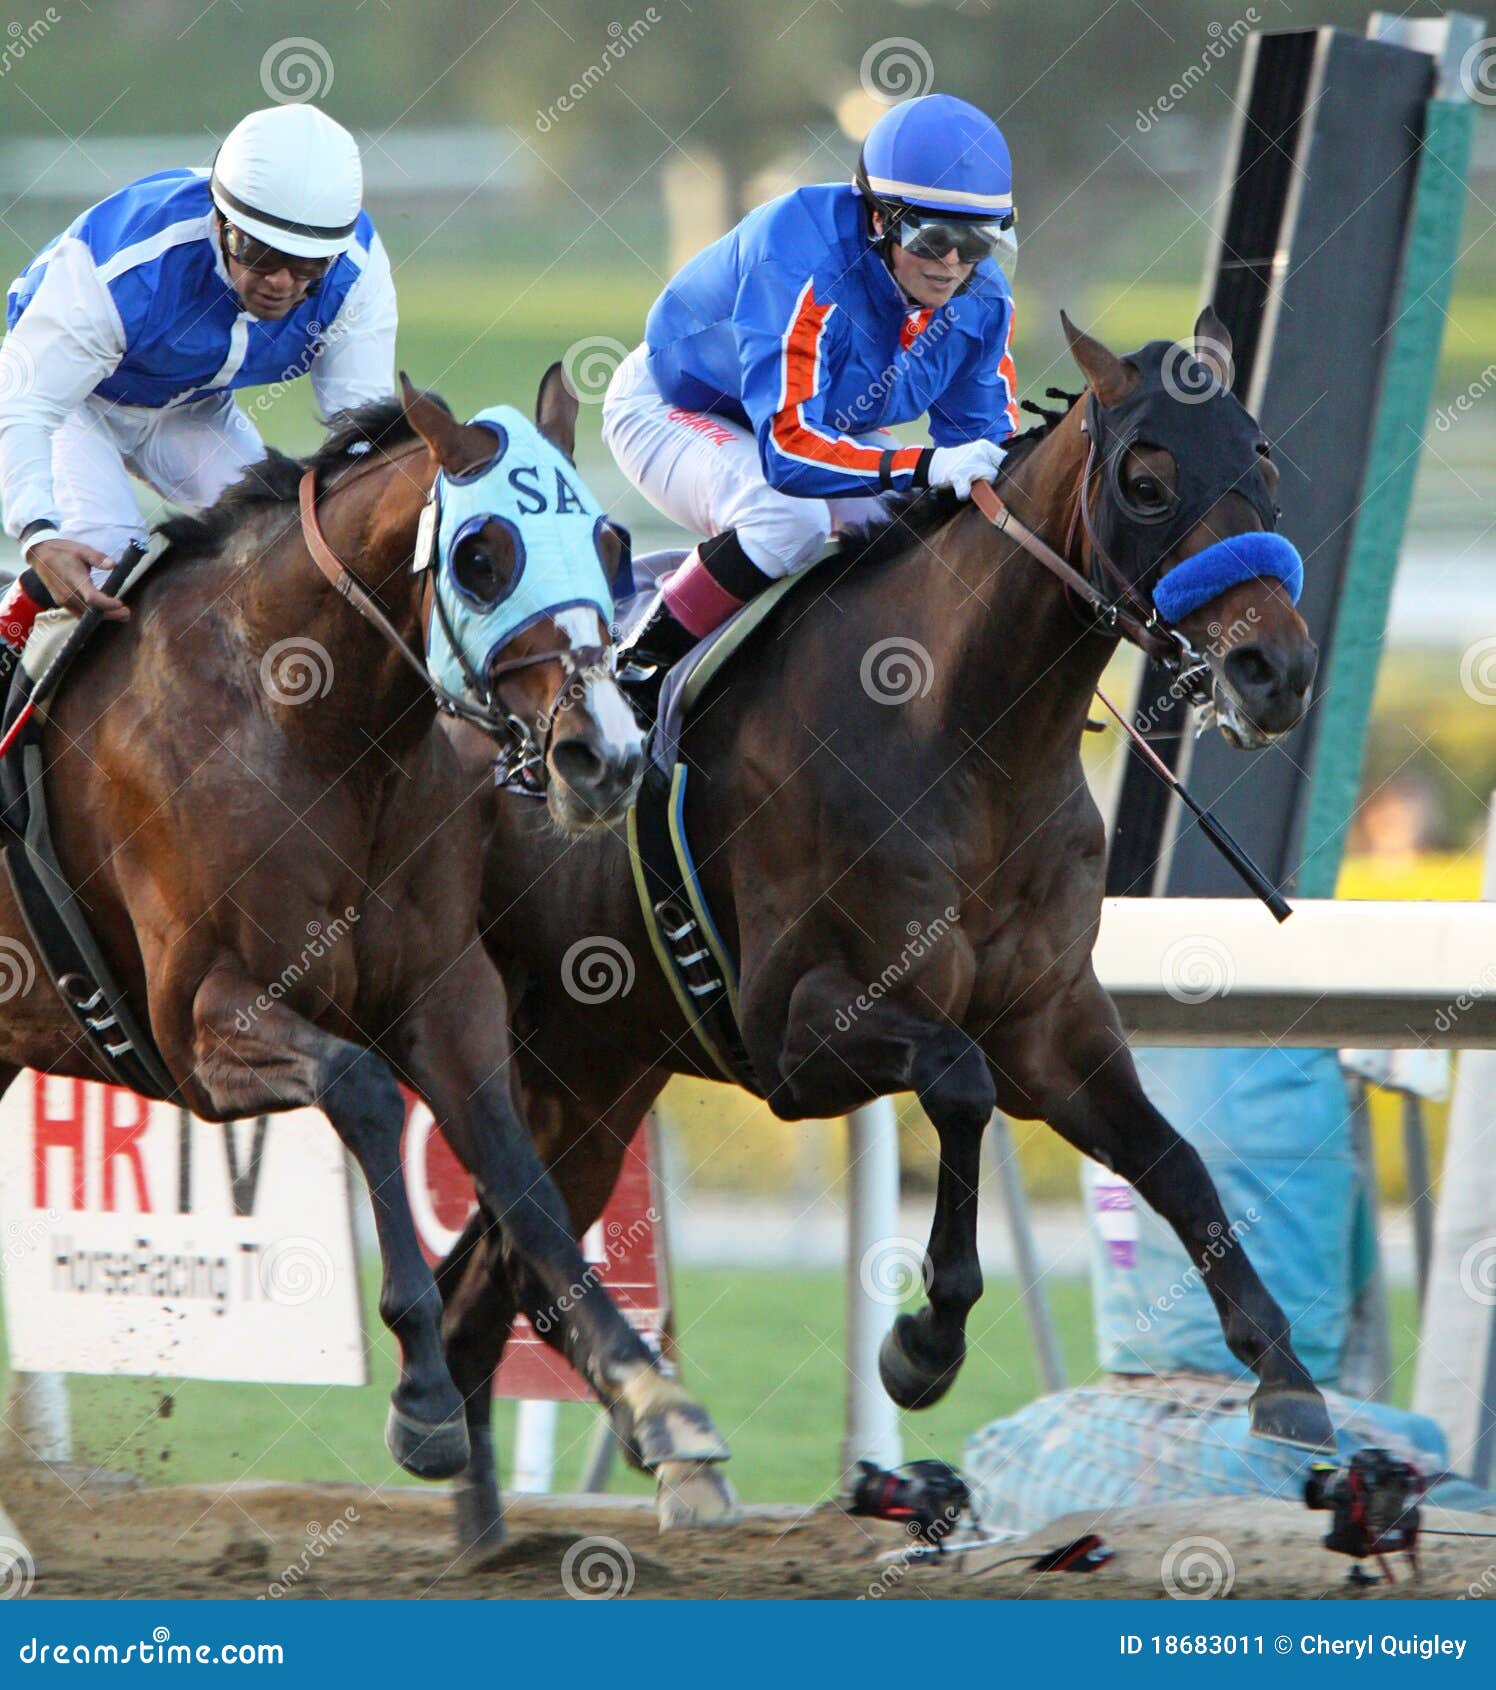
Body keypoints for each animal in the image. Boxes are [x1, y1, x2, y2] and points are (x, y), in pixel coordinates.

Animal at [436, 310, 1332, 1541]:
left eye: (1264, 466)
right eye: (1147, 480)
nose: (1271, 669)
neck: (961, 735)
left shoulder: (1050, 1022)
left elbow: (1174, 1158)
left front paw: (1284, 1374)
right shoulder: (796, 1031)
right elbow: (956, 1083)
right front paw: (922, 1341)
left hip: (592, 1072)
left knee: (495, 1274)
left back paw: (492, 1499)